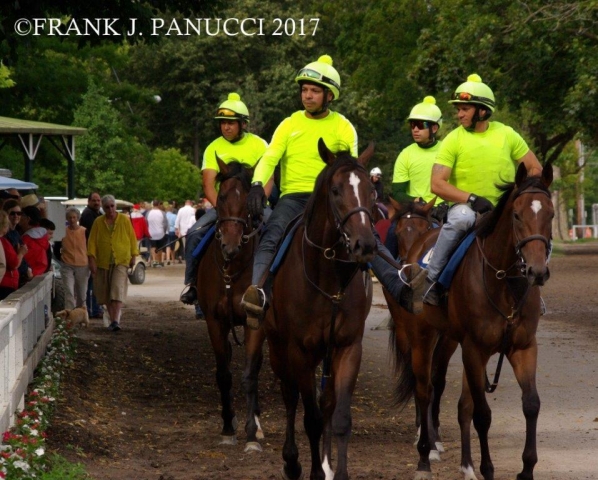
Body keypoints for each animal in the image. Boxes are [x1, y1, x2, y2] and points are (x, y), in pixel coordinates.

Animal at [268, 139, 380, 480]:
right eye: (335, 190)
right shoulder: (299, 351)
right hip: (277, 347)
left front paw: (336, 471)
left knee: (326, 401)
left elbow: (339, 415)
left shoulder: (347, 347)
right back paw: (292, 462)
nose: (365, 245)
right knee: (290, 396)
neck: (328, 279)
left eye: (372, 191)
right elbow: (311, 418)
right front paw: (313, 471)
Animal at [398, 162, 556, 480]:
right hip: (423, 338)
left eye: (551, 214)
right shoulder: (475, 349)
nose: (537, 271)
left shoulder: (523, 348)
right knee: (424, 390)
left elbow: (531, 404)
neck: (505, 283)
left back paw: (463, 464)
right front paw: (487, 468)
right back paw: (424, 457)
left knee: (458, 402)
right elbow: (482, 414)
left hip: (449, 341)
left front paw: (526, 469)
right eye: (517, 215)